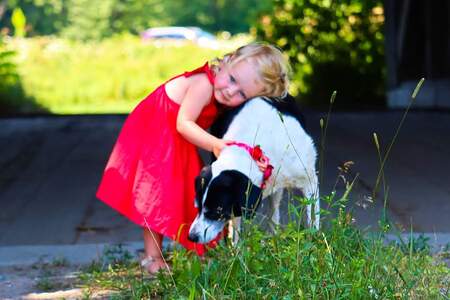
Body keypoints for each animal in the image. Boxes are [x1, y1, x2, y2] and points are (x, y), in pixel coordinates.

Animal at [188, 96, 318, 244]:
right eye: (197, 207)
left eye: (216, 212)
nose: (191, 237)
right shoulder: (238, 206)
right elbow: (236, 232)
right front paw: (236, 250)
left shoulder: (310, 181)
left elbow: (313, 218)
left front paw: (315, 243)